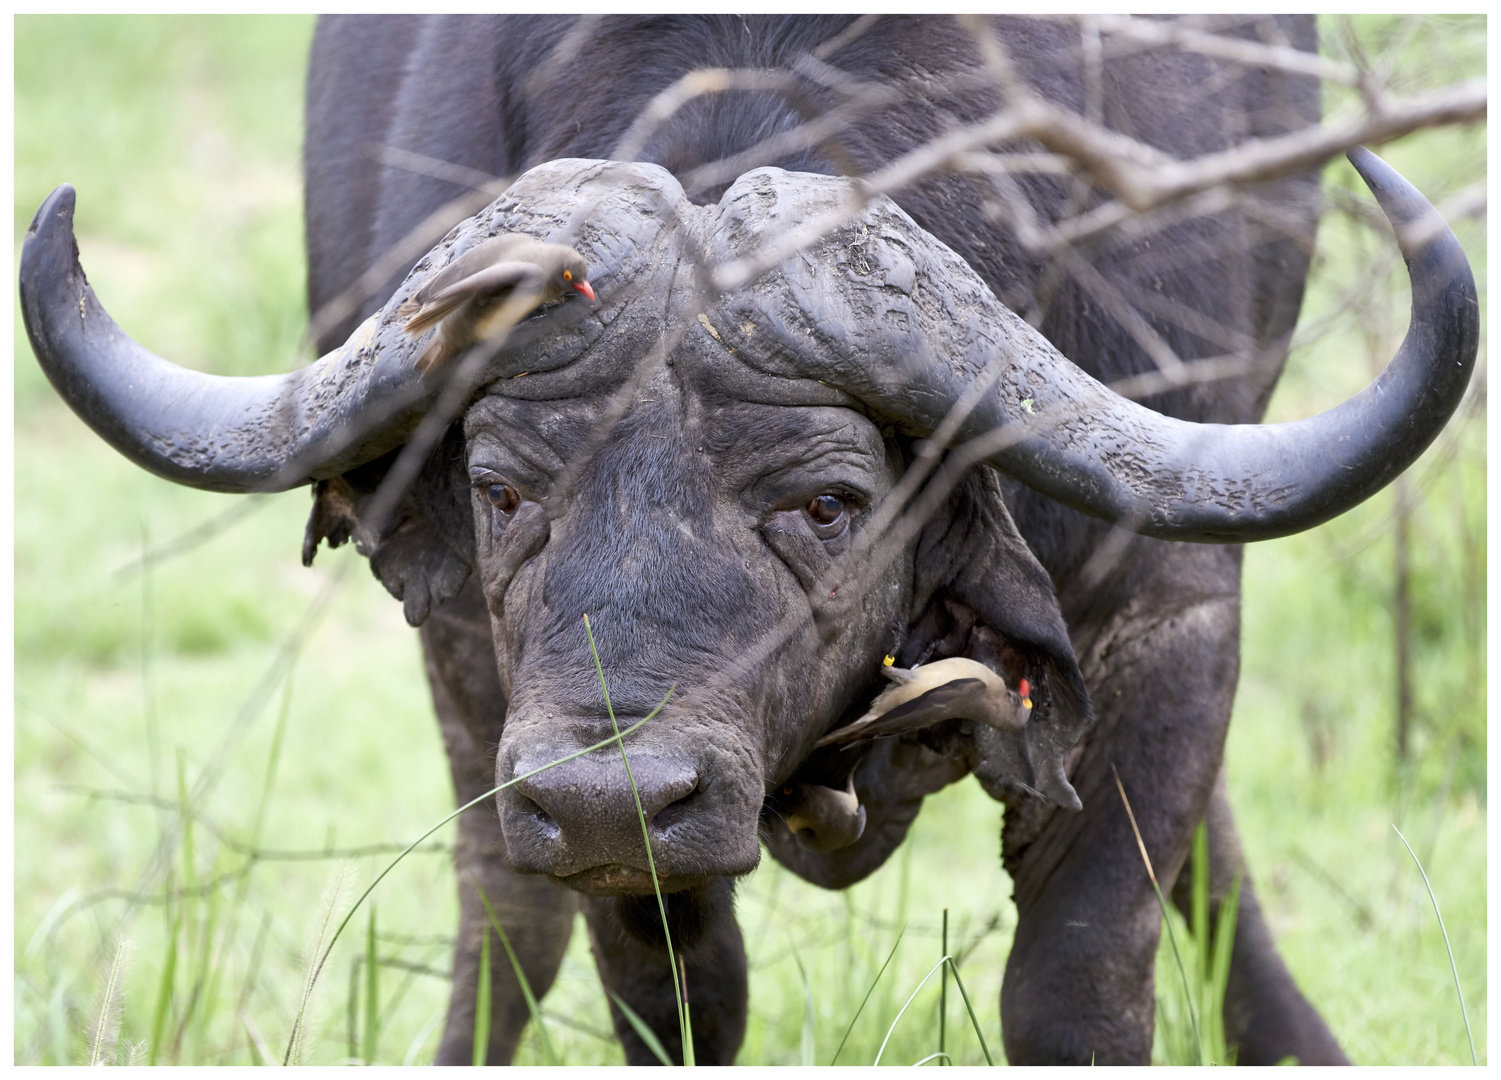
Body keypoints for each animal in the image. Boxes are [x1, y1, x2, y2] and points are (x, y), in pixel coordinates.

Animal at [20, 14, 1476, 1062]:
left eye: (828, 503)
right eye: (498, 490)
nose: (605, 796)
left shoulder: (1168, 608)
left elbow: (1077, 973)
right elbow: (669, 986)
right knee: (506, 916)